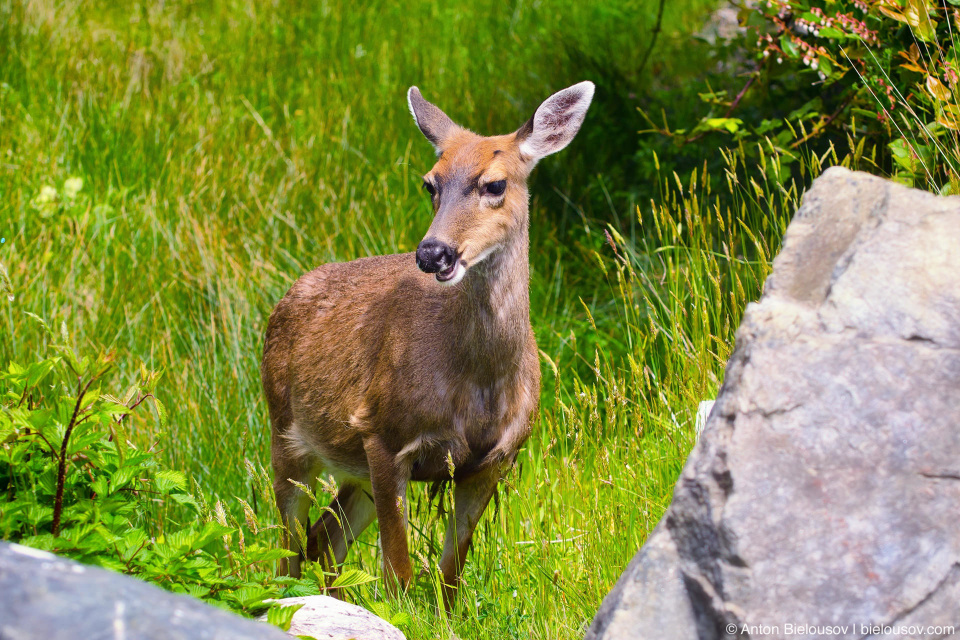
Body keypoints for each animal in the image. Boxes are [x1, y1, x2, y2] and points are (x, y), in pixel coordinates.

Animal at [260, 79, 592, 604]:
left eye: (495, 184)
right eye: (430, 183)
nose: (433, 252)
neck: (478, 382)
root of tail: (287, 296)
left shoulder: (494, 460)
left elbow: (450, 573)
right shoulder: (383, 433)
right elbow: (398, 572)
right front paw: (399, 615)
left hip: (352, 468)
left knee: (325, 538)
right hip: (285, 430)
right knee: (289, 550)